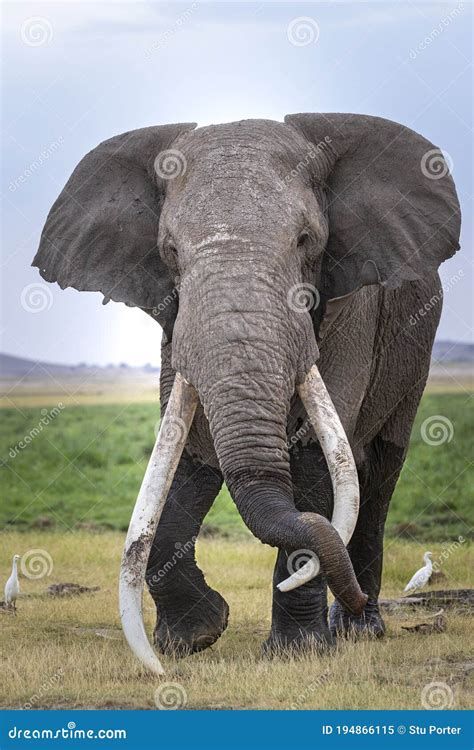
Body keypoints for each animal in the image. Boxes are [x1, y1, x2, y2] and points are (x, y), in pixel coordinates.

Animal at [32, 113, 460, 676]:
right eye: (170, 251)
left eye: (306, 240)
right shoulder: (176, 324)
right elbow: (184, 452)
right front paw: (194, 637)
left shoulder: (351, 311)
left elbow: (314, 462)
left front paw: (297, 652)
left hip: (415, 351)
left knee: (381, 471)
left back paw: (360, 629)